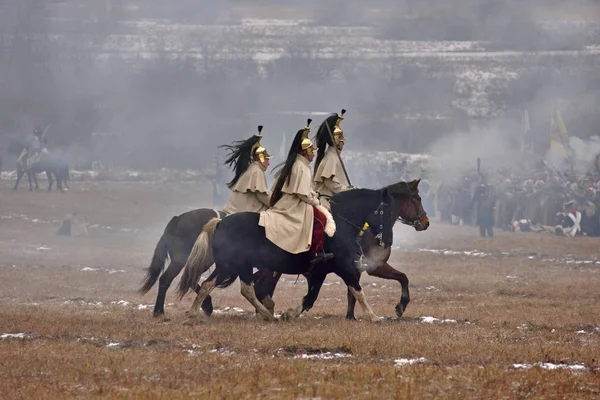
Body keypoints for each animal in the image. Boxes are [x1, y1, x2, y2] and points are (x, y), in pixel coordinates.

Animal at [176, 188, 396, 322]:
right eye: (386, 211)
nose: (387, 240)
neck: (340, 225)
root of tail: (220, 222)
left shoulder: (320, 271)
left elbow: (311, 297)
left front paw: (289, 314)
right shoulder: (344, 267)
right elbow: (357, 290)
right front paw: (374, 317)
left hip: (236, 266)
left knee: (232, 287)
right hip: (231, 266)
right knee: (224, 286)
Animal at [251, 180, 428, 320]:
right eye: (417, 198)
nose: (426, 222)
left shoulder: (350, 268)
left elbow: (351, 292)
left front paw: (351, 316)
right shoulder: (372, 266)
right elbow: (401, 278)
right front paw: (399, 306)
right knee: (261, 286)